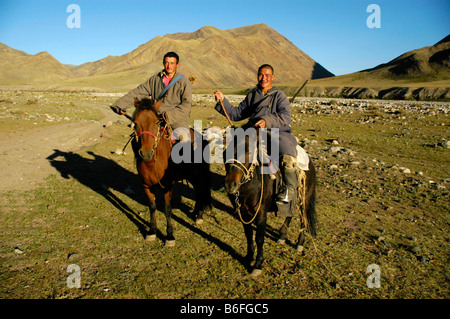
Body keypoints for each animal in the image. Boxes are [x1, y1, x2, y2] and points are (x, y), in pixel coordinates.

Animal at [128, 97, 211, 248]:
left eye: (156, 122)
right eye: (135, 123)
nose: (146, 153)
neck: (153, 162)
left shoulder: (166, 186)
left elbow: (167, 210)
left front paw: (170, 236)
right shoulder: (146, 186)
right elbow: (152, 207)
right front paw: (152, 231)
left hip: (199, 175)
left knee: (201, 191)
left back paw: (199, 216)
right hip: (192, 176)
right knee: (198, 191)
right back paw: (196, 213)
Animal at [224, 125, 316, 278]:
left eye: (249, 152)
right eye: (226, 151)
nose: (230, 185)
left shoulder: (261, 213)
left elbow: (259, 238)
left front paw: (258, 264)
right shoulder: (243, 212)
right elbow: (248, 235)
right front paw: (248, 257)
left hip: (305, 199)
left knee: (304, 219)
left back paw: (299, 243)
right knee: (290, 213)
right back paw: (282, 236)